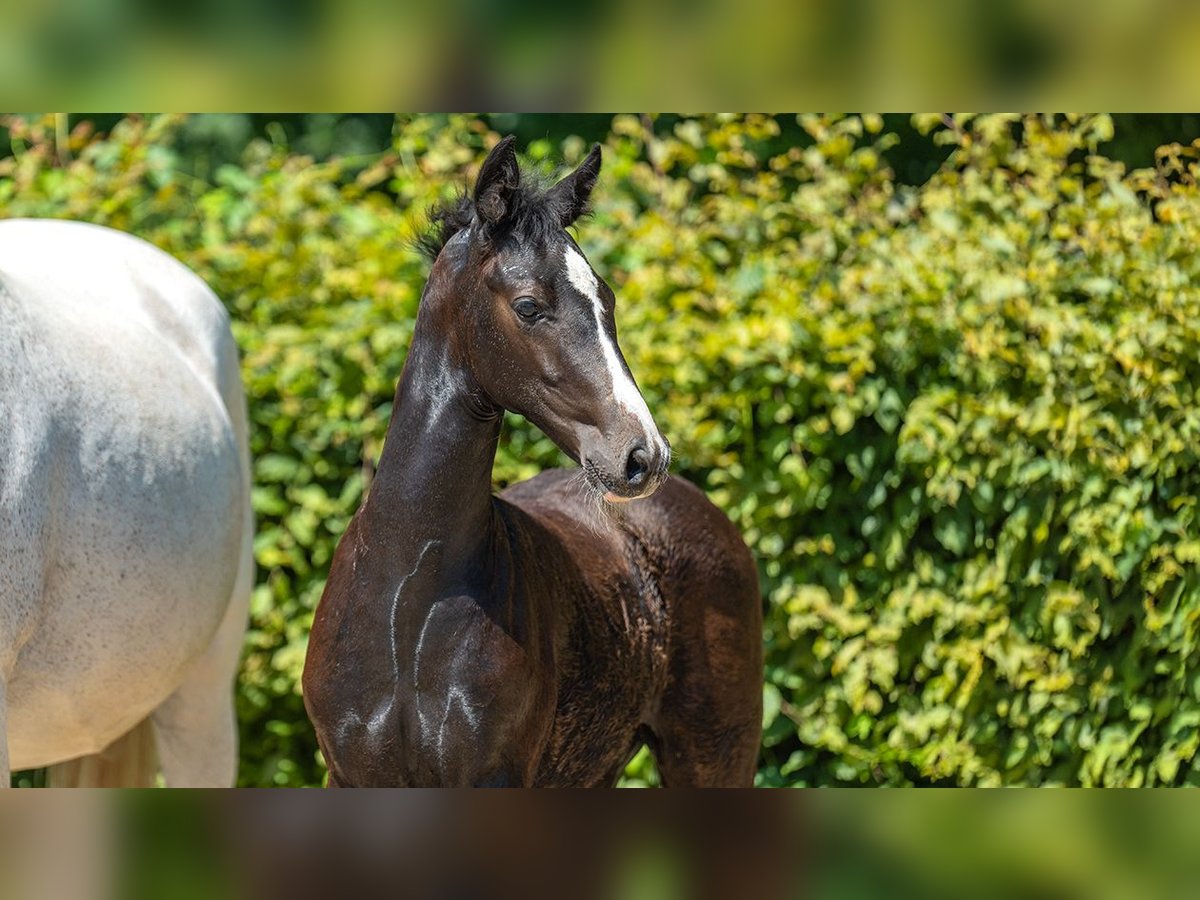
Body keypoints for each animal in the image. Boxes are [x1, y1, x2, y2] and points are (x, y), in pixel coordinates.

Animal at [304, 137, 763, 787]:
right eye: (528, 306)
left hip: (714, 753)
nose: (643, 455)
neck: (409, 591)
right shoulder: (349, 774)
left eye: (607, 299)